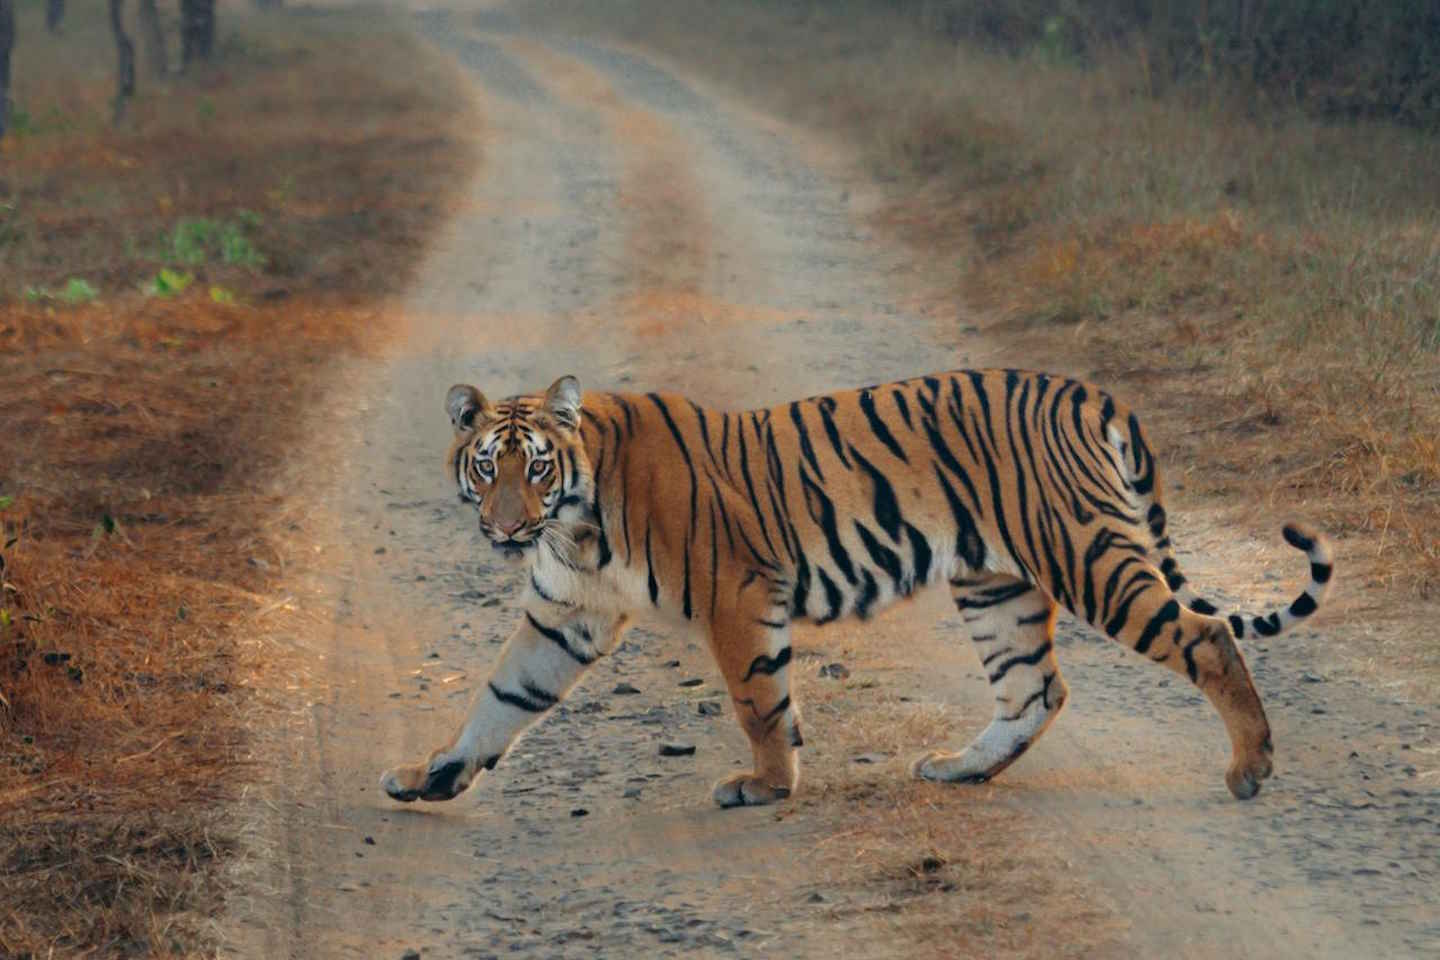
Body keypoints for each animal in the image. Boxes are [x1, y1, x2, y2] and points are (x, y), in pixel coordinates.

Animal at [377, 371, 1330, 805]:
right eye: (487, 467)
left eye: (536, 468)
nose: (506, 528)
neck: (572, 526)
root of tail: (1082, 388)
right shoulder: (563, 620)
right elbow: (498, 701)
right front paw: (432, 776)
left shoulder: (737, 595)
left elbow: (758, 701)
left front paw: (765, 786)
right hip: (997, 585)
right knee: (1036, 689)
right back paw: (960, 769)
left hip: (1085, 553)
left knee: (1208, 636)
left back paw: (1251, 767)